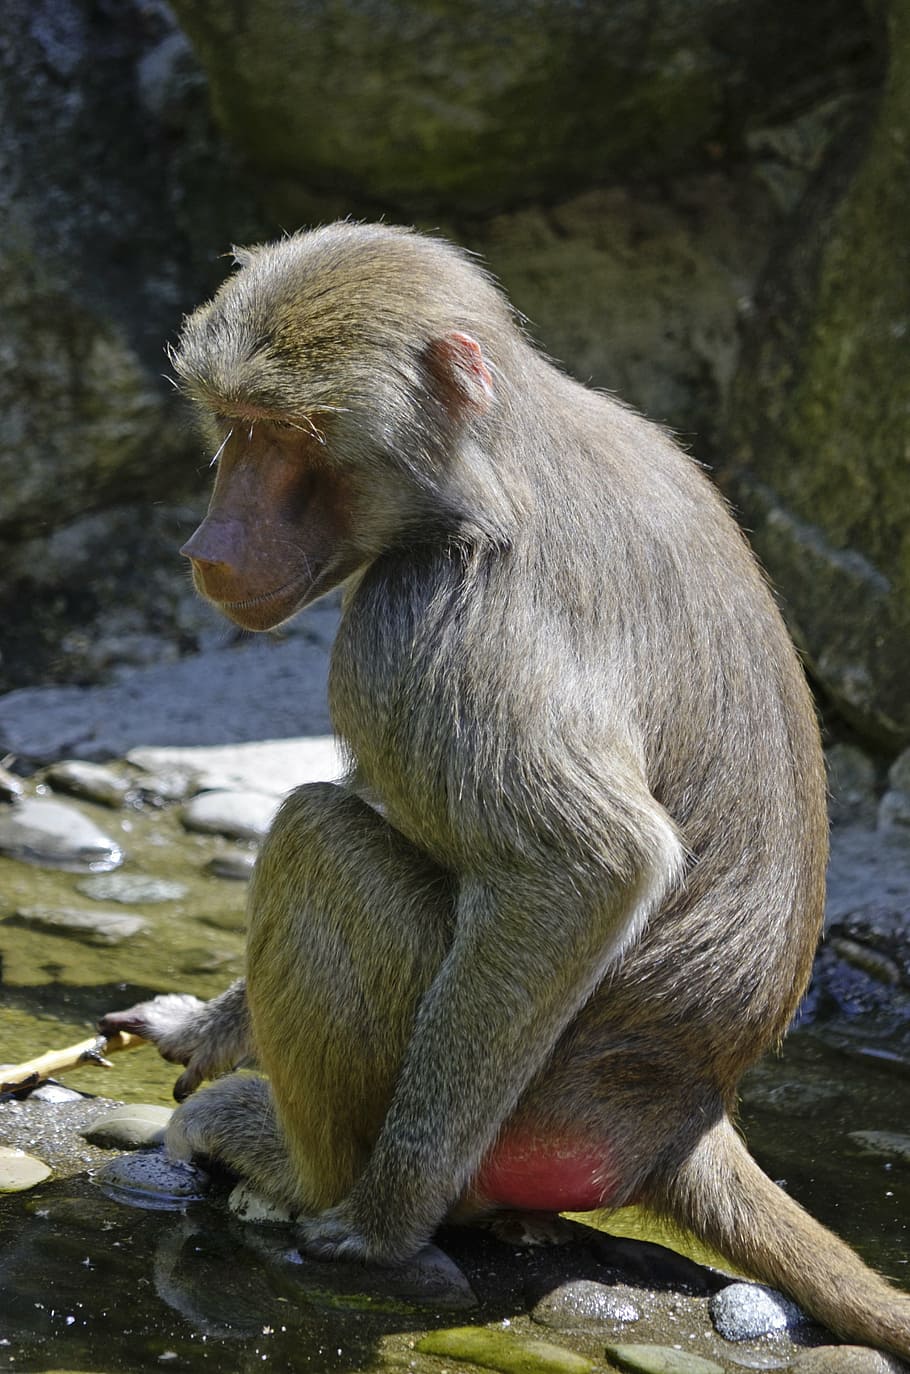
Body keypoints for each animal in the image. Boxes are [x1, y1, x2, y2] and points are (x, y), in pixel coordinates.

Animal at [100, 222, 910, 1360]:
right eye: (235, 425)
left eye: (290, 433)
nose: (207, 549)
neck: (490, 458)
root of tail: (680, 1116)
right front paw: (201, 1028)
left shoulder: (426, 619)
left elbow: (582, 867)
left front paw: (378, 1224)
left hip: (524, 1119)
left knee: (315, 835)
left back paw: (302, 1174)